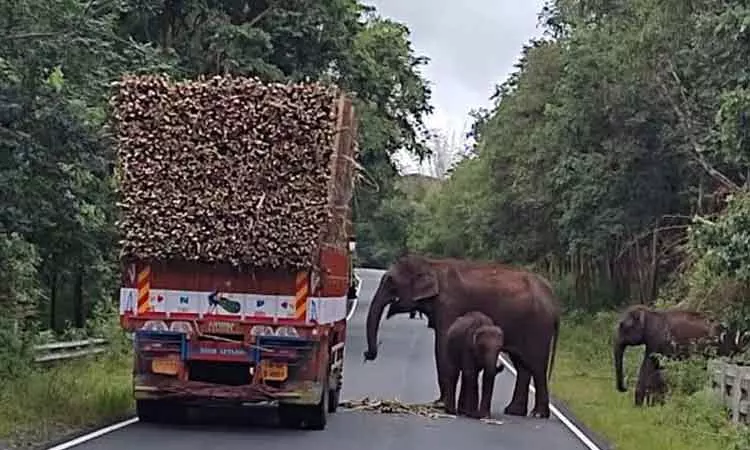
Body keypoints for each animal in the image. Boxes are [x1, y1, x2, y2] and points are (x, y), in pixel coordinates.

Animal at [362, 253, 560, 418]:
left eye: (390, 281)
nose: (368, 354)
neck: (432, 264)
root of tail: (552, 297)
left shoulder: (450, 305)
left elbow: (441, 346)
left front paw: (440, 404)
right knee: (522, 365)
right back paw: (514, 411)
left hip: (538, 327)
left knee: (537, 366)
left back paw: (538, 414)